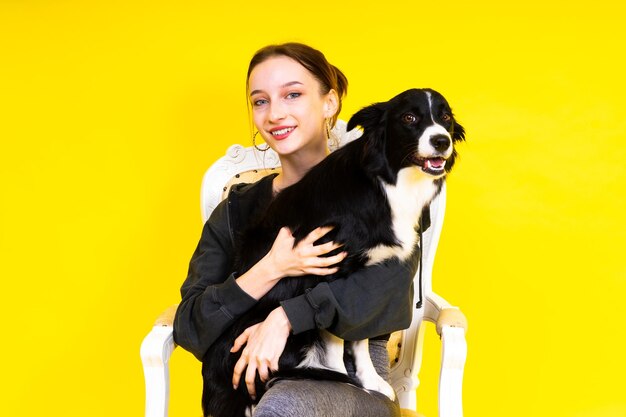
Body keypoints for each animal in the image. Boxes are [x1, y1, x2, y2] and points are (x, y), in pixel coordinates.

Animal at [200, 88, 464, 416]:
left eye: (445, 116)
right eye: (409, 118)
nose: (441, 141)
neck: (385, 181)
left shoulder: (365, 281)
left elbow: (359, 335)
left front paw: (369, 381)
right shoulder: (331, 273)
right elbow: (336, 339)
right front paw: (341, 377)